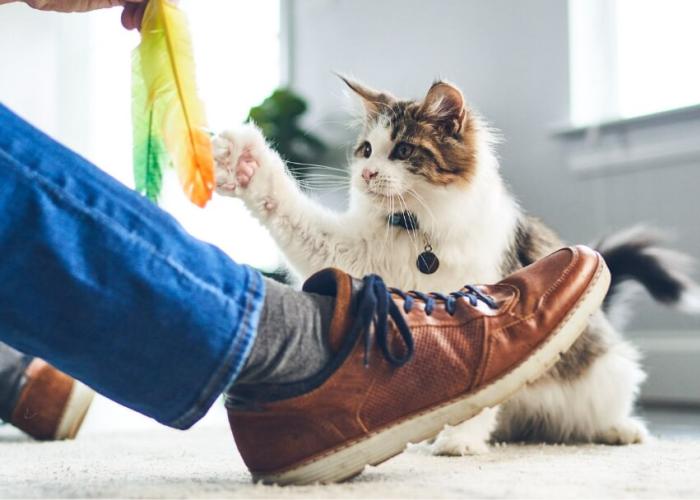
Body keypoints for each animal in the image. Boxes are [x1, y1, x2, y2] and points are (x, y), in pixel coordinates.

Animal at [213, 76, 700, 456]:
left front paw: (459, 440)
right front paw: (245, 163)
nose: (366, 175)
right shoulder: (355, 257)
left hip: (605, 373)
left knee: (604, 409)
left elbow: (479, 391)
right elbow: (290, 210)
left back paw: (623, 430)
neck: (416, 232)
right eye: (366, 150)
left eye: (403, 150)